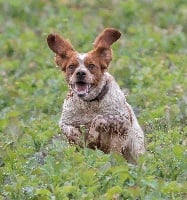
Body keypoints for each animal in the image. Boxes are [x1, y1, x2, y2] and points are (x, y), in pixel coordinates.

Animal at [46, 27, 145, 162]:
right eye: (71, 66)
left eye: (91, 66)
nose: (80, 73)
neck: (89, 103)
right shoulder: (65, 122)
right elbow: (71, 130)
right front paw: (80, 138)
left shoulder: (122, 122)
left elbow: (99, 119)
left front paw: (92, 137)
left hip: (135, 150)